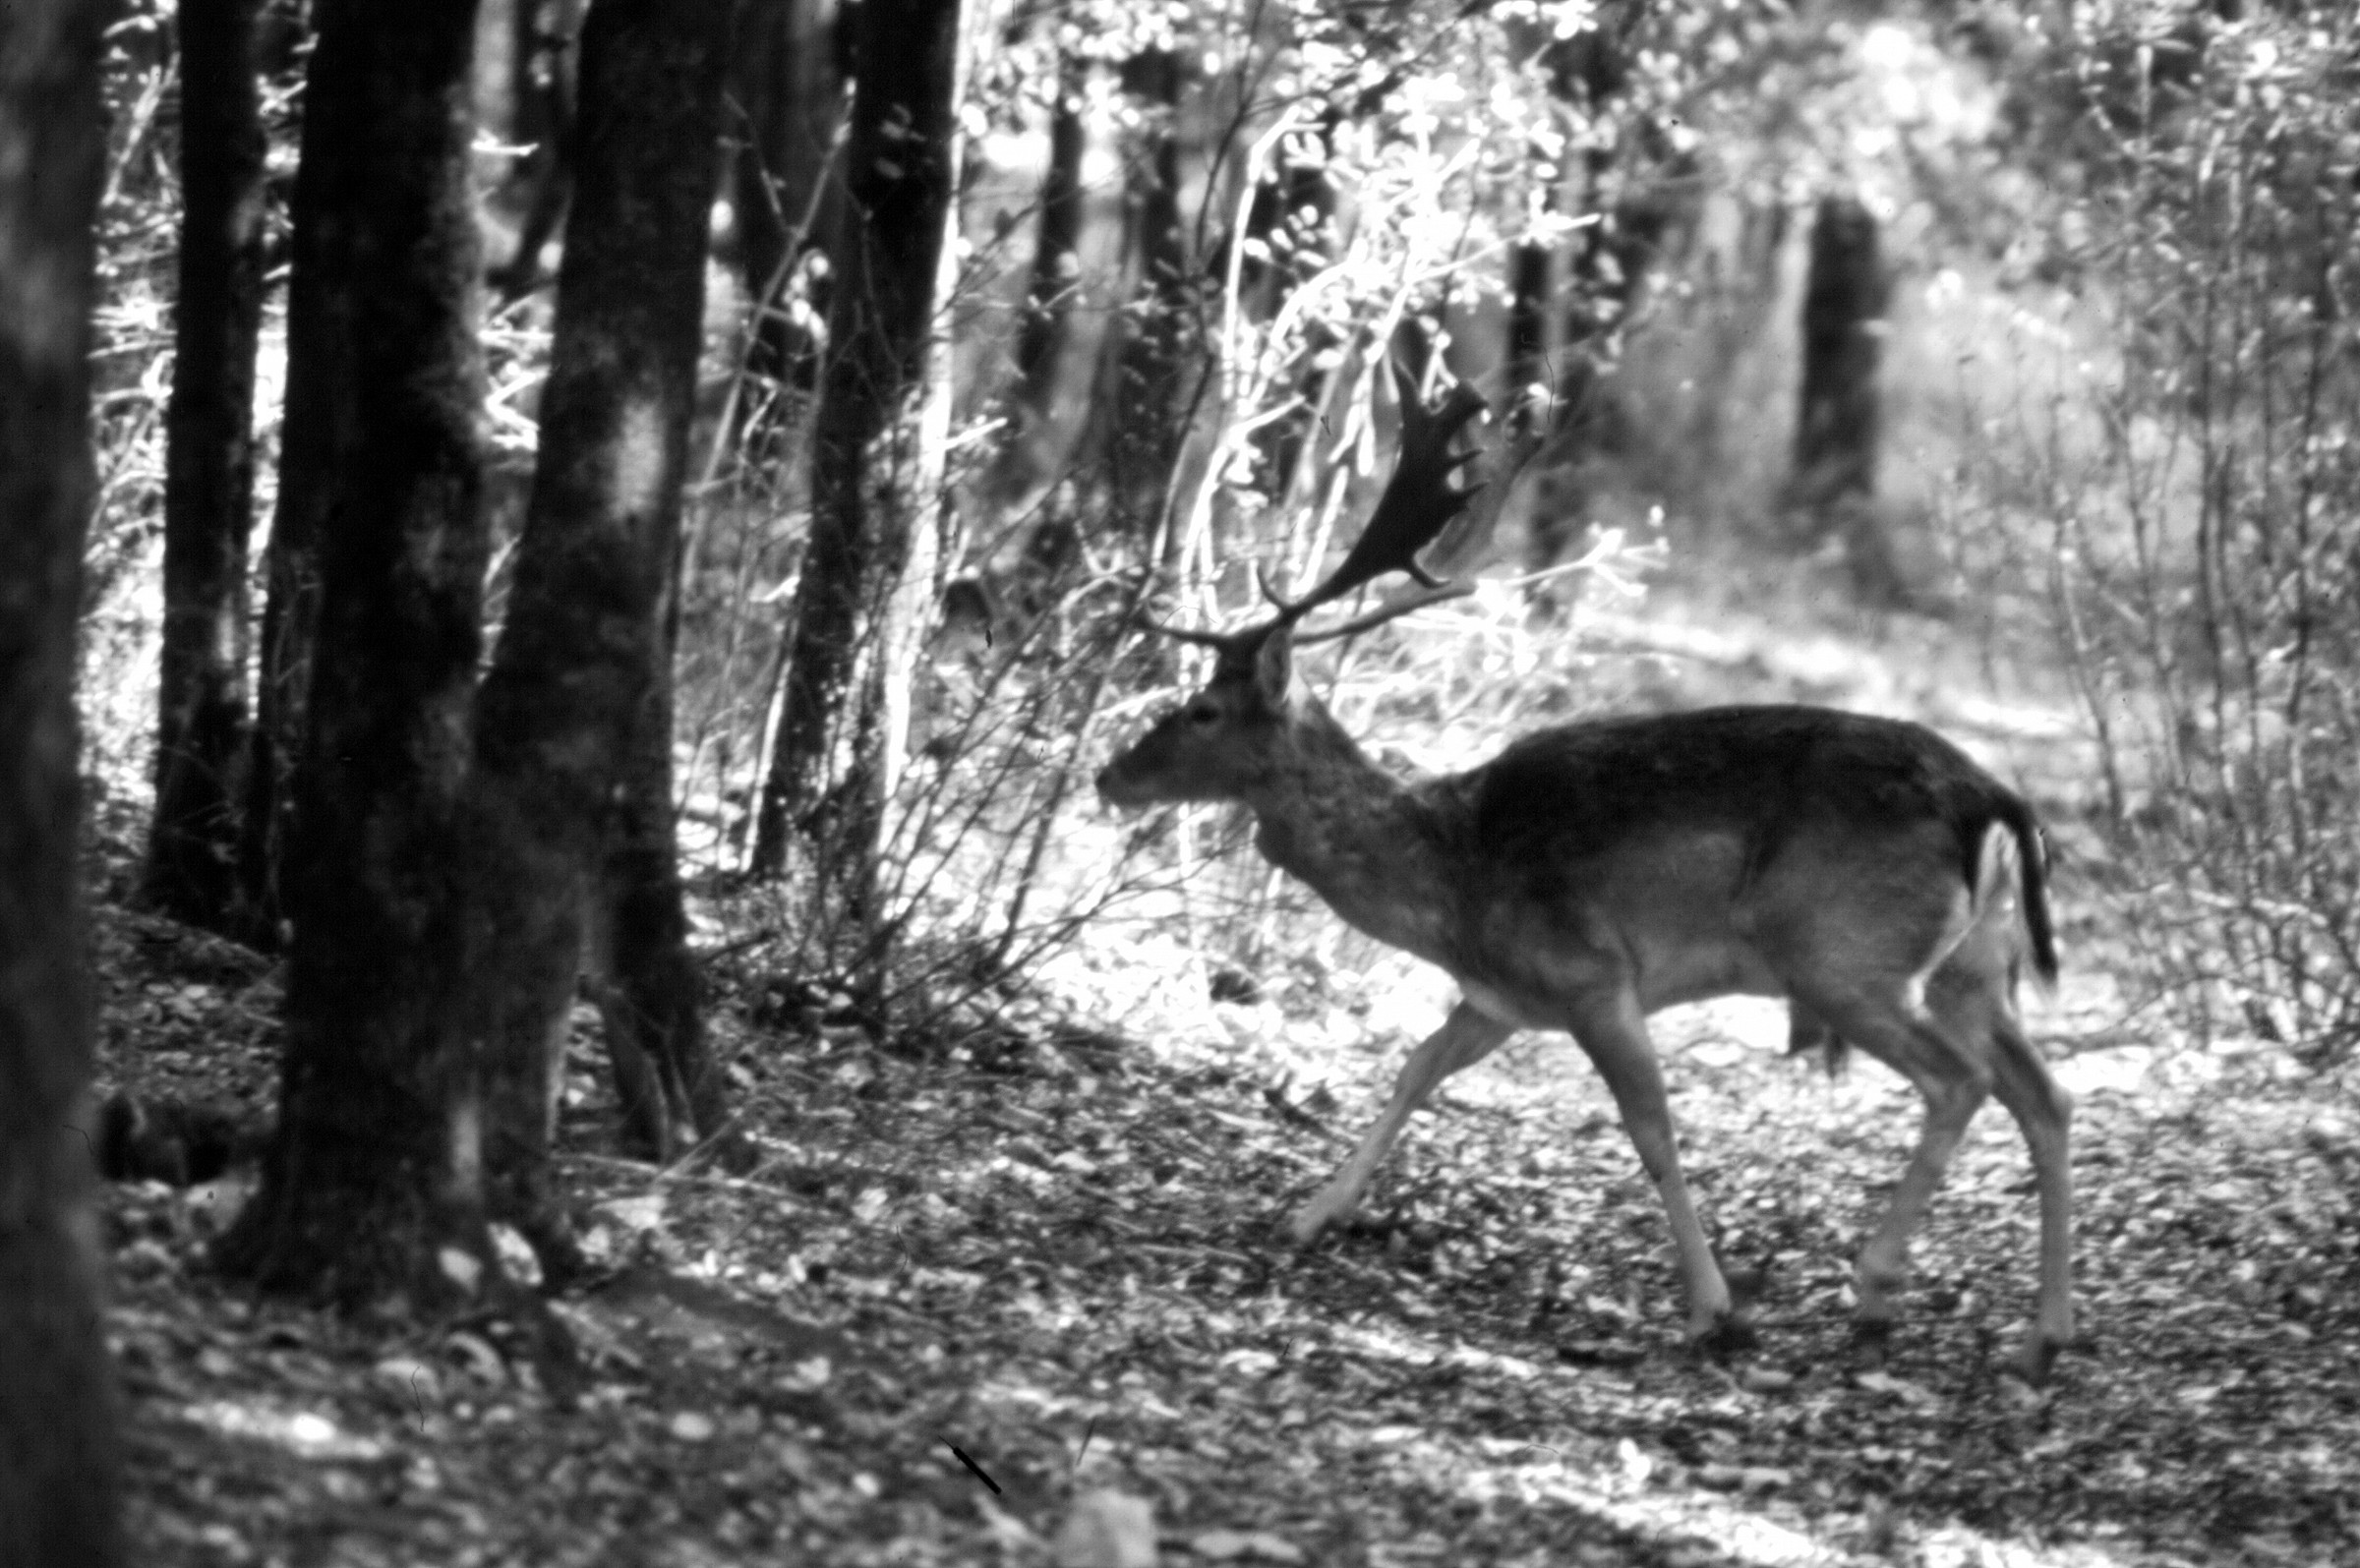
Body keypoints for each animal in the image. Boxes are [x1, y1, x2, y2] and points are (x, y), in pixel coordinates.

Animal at [1096, 369, 2075, 1383]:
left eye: (1204, 710)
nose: (1110, 773)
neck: (1452, 881)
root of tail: (1995, 801)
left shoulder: (1592, 974)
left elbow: (1652, 1128)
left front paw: (1714, 1310)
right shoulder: (1501, 995)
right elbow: (1414, 1069)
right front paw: (1312, 1215)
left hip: (1842, 954)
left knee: (1959, 1082)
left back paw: (1878, 1288)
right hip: (1974, 966)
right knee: (2046, 1095)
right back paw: (2043, 1334)